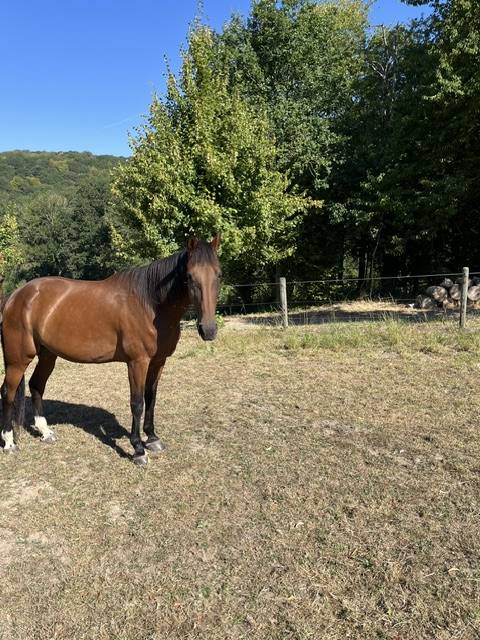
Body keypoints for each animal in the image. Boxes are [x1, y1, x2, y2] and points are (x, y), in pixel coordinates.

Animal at [0, 236, 221, 465]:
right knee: (7, 392)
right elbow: (137, 403)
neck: (149, 304)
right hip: (18, 359)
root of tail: (16, 296)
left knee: (36, 385)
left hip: (47, 355)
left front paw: (152, 438)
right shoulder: (137, 362)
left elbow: (151, 398)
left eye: (219, 274)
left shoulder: (158, 361)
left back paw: (46, 432)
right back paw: (9, 443)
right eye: (189, 276)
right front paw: (138, 449)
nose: (208, 330)